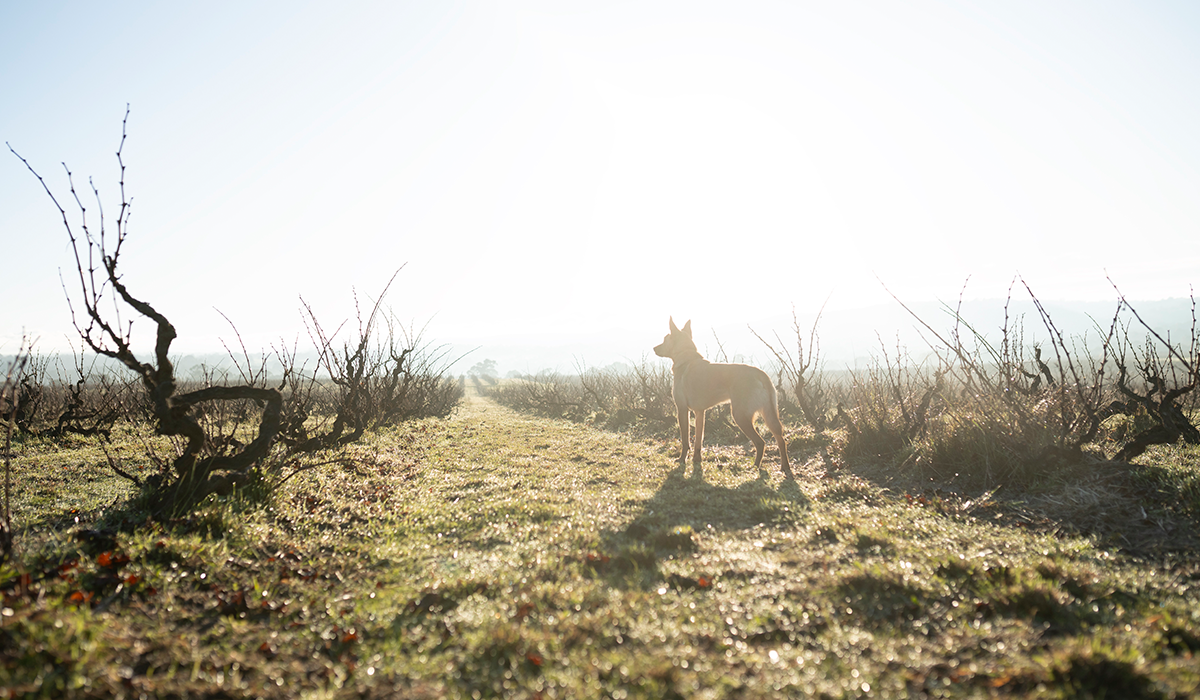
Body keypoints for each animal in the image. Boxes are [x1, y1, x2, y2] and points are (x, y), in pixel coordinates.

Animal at [652, 319, 792, 473]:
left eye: (665, 339)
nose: (654, 348)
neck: (686, 358)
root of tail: (760, 374)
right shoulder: (700, 412)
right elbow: (698, 440)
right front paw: (696, 460)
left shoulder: (682, 410)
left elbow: (685, 440)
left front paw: (682, 460)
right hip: (769, 415)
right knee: (781, 440)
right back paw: (785, 466)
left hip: (740, 416)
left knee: (760, 442)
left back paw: (755, 466)